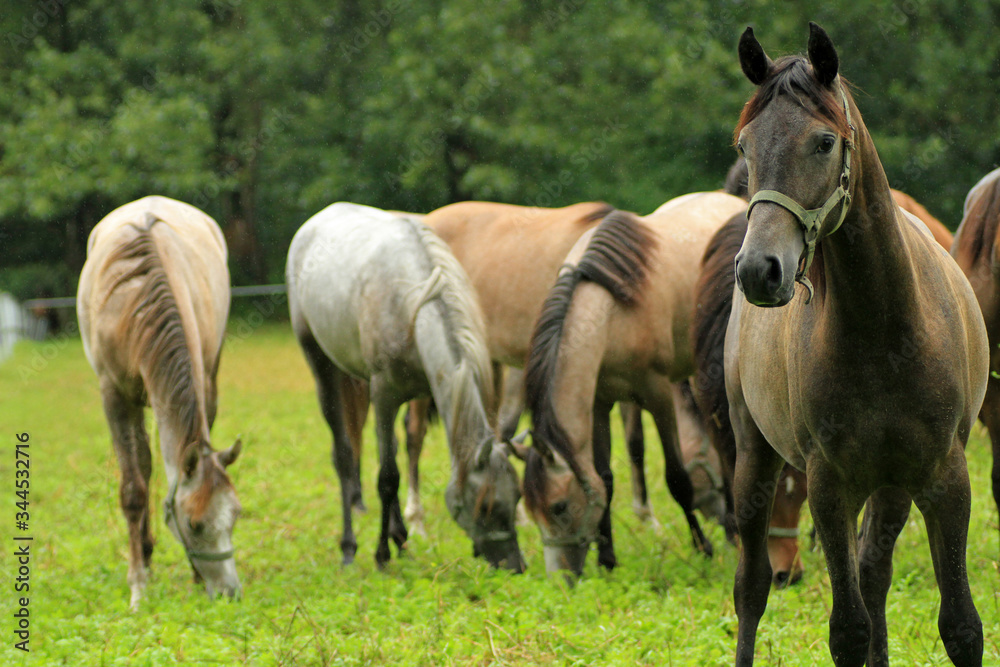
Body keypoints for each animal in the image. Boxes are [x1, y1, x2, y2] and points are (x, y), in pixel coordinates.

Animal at [76, 197, 244, 612]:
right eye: (195, 524)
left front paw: (196, 577)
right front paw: (138, 585)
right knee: (144, 467)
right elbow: (133, 490)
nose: (230, 593)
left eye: (235, 515)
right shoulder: (114, 397)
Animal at [286, 201, 524, 572]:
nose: (516, 566)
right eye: (485, 507)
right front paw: (382, 554)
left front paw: (401, 540)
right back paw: (349, 549)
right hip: (322, 369)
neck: (412, 305)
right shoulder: (384, 396)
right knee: (344, 455)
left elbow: (399, 459)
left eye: (517, 497)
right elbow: (388, 478)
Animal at [516, 193, 744, 576]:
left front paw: (703, 548)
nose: (560, 579)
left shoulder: (658, 396)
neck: (610, 310)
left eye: (558, 506)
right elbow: (604, 479)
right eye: (533, 512)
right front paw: (607, 559)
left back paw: (731, 532)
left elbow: (677, 479)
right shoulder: (599, 404)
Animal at [732, 23, 988, 664]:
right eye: (745, 146)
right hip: (754, 456)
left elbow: (961, 626)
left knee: (875, 572)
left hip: (892, 485)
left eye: (824, 142)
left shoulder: (944, 476)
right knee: (751, 587)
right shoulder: (829, 484)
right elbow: (847, 629)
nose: (759, 271)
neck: (885, 330)